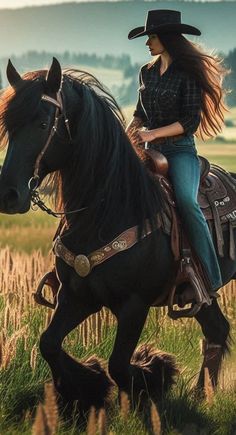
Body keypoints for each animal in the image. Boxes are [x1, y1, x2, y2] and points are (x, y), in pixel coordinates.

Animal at [0, 59, 234, 410]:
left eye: (42, 124)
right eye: (9, 126)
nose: (9, 196)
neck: (108, 209)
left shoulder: (134, 305)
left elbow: (120, 366)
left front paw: (154, 375)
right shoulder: (77, 296)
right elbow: (49, 343)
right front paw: (86, 387)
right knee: (217, 330)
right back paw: (200, 397)